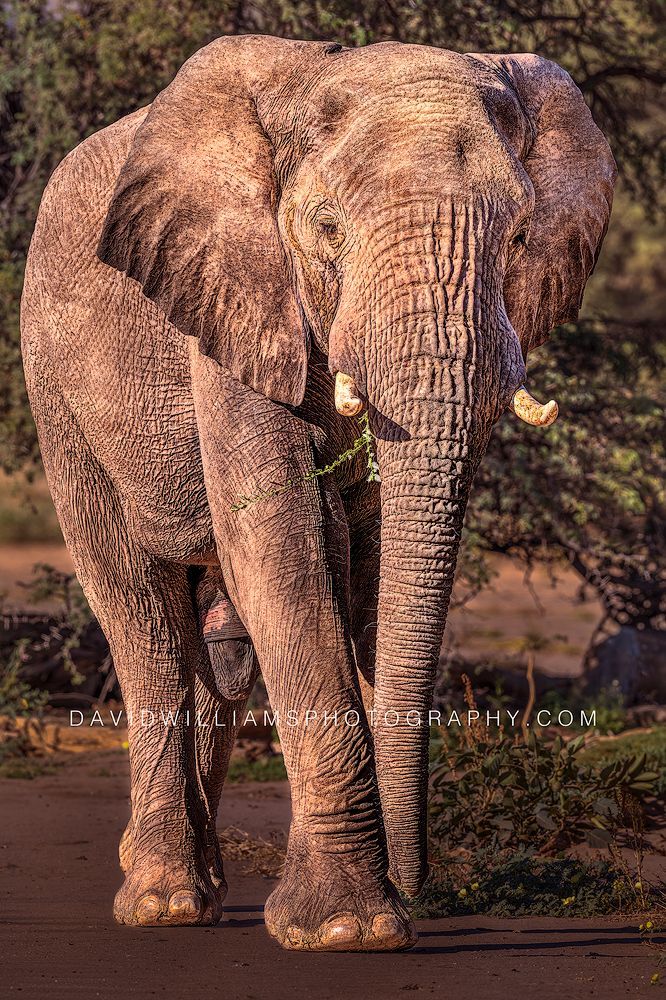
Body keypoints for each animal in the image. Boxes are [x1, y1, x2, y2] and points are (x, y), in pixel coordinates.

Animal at [21, 34, 615, 951]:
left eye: (519, 234)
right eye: (328, 227)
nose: (419, 885)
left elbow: (364, 566)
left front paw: (354, 912)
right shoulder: (233, 297)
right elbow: (284, 547)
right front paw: (349, 928)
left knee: (220, 651)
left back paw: (204, 889)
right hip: (55, 386)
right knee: (141, 615)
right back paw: (162, 902)